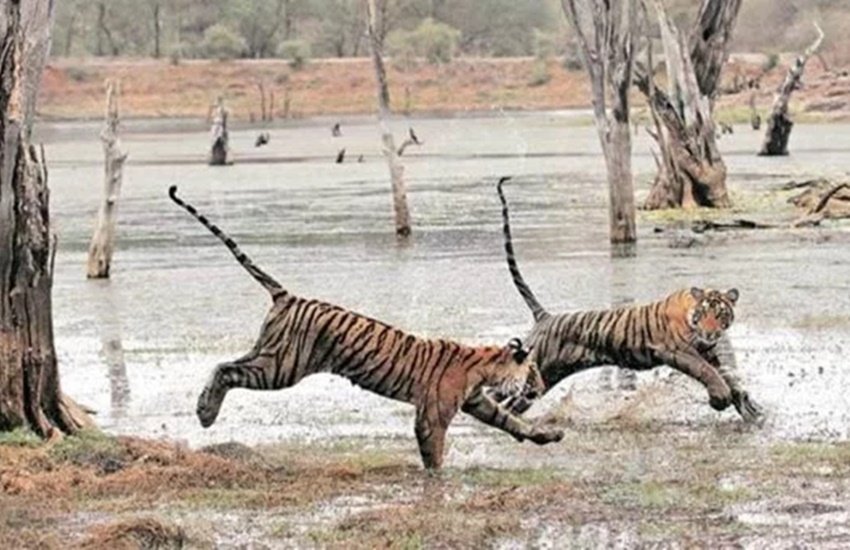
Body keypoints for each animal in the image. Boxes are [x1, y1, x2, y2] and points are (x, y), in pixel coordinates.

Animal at [168, 185, 563, 470]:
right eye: (533, 371)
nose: (540, 386)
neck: (483, 366)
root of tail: (288, 294)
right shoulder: (432, 416)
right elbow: (433, 455)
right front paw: (436, 478)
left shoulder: (477, 402)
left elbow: (510, 421)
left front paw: (548, 435)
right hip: (281, 366)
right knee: (225, 369)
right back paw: (205, 414)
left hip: (269, 353)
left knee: (228, 365)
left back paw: (204, 409)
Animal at [494, 177, 763, 423]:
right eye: (704, 314)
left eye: (720, 315)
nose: (711, 333)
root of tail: (544, 316)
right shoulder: (676, 350)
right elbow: (706, 371)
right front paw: (720, 398)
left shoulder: (708, 352)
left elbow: (727, 375)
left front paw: (750, 408)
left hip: (544, 379)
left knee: (513, 403)